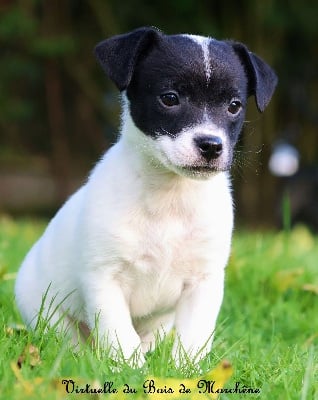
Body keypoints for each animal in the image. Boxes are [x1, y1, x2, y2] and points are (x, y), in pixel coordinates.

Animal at [14, 27, 276, 366]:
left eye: (234, 106)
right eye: (170, 98)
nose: (211, 145)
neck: (170, 195)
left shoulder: (204, 283)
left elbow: (193, 337)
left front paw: (182, 371)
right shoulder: (104, 280)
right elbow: (119, 334)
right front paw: (130, 370)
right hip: (46, 312)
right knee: (69, 340)